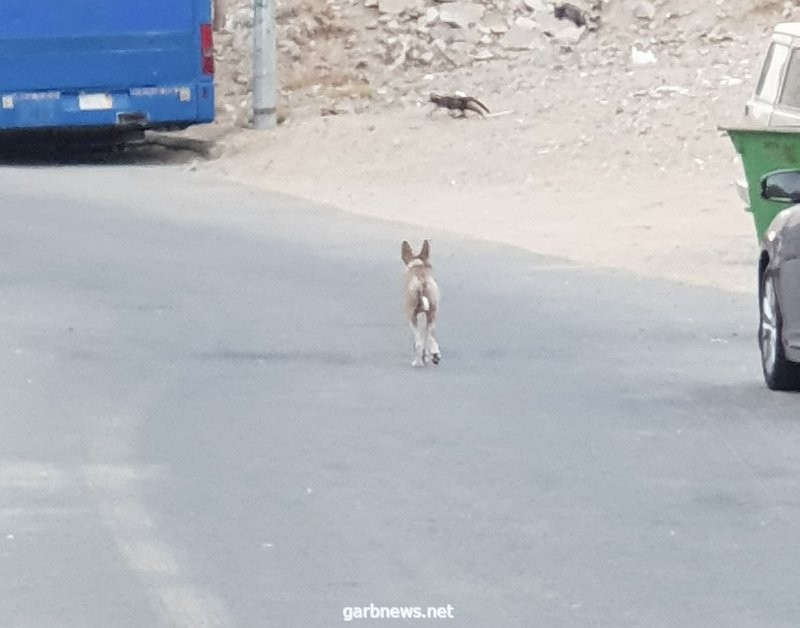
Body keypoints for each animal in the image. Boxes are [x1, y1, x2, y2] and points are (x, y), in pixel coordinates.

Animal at [404, 240, 440, 368]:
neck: (418, 267)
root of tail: (422, 282)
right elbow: (429, 339)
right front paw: (433, 355)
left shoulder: (412, 315)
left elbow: (418, 342)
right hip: (432, 315)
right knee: (430, 337)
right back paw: (434, 355)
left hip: (412, 318)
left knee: (419, 342)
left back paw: (418, 362)